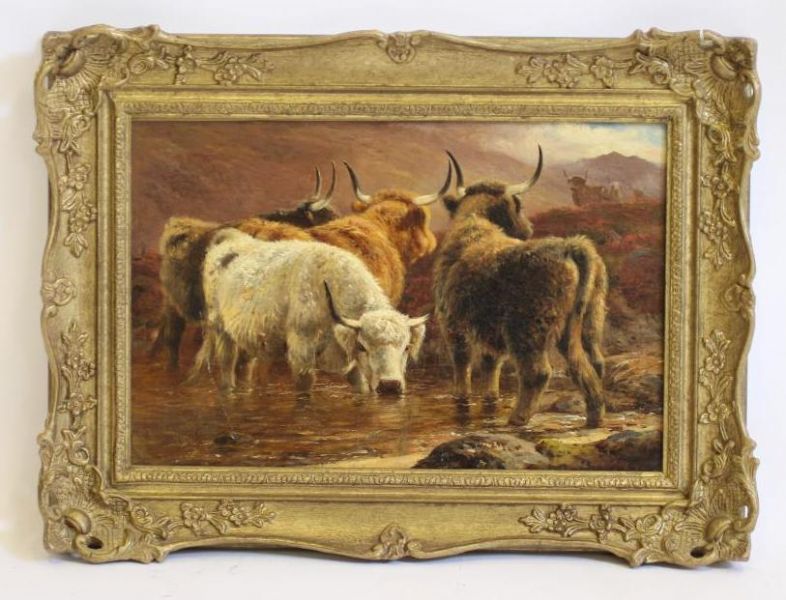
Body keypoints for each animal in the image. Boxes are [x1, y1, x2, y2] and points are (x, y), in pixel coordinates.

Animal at [196, 229, 428, 395]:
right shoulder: (302, 355)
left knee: (244, 367)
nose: (390, 386)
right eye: (362, 346)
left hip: (249, 338)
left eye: (407, 347)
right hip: (221, 330)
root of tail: (230, 241)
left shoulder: (352, 365)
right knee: (226, 366)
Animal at [434, 148, 608, 427]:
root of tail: (568, 247)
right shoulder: (486, 328)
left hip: (526, 328)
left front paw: (461, 396)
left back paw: (518, 418)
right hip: (584, 323)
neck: (474, 222)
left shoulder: (452, 322)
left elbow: (463, 361)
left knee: (538, 372)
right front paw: (490, 397)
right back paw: (594, 415)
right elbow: (490, 362)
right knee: (589, 363)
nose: (528, 228)